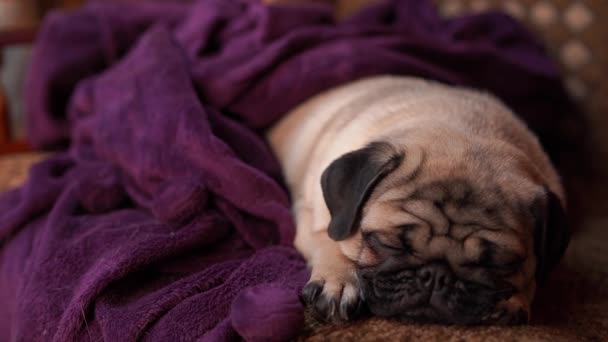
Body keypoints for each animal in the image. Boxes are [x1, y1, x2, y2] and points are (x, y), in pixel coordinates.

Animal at [266, 76, 568, 324]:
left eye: (499, 265)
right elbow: (330, 239)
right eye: (387, 243)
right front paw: (340, 279)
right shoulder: (310, 216)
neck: (466, 128)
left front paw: (514, 299)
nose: (436, 276)